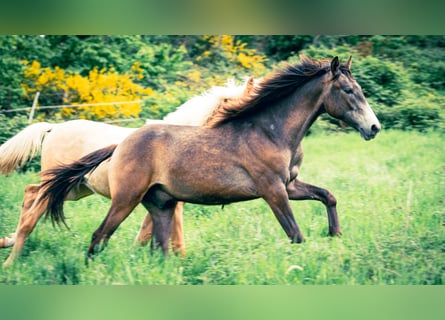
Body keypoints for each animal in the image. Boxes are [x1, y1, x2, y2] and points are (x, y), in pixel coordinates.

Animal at [0, 76, 255, 266]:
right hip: (61, 186)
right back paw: (11, 261)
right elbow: (171, 235)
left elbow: (148, 231)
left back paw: (7, 243)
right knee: (31, 212)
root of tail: (53, 128)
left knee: (30, 193)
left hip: (75, 189)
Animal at [40, 55, 380, 260]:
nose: (373, 127)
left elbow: (328, 196)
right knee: (99, 236)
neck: (271, 131)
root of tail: (121, 143)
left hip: (161, 205)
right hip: (126, 199)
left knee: (159, 249)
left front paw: (335, 235)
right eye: (348, 90)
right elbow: (295, 234)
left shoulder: (290, 185)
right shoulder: (272, 190)